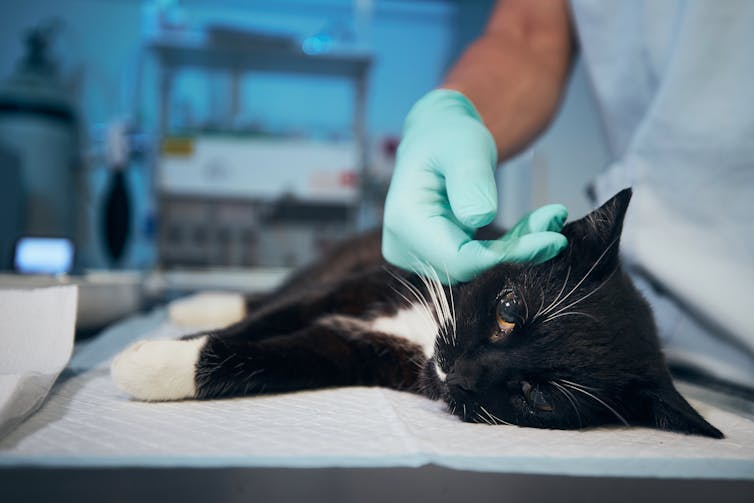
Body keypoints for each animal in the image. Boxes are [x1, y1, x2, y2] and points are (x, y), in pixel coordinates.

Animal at [111, 189, 724, 438]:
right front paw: (158, 351)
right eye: (509, 309)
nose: (462, 373)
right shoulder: (370, 282)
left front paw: (155, 367)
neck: (422, 334)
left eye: (538, 396)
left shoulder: (362, 353)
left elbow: (287, 355)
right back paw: (197, 302)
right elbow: (272, 317)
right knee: (280, 291)